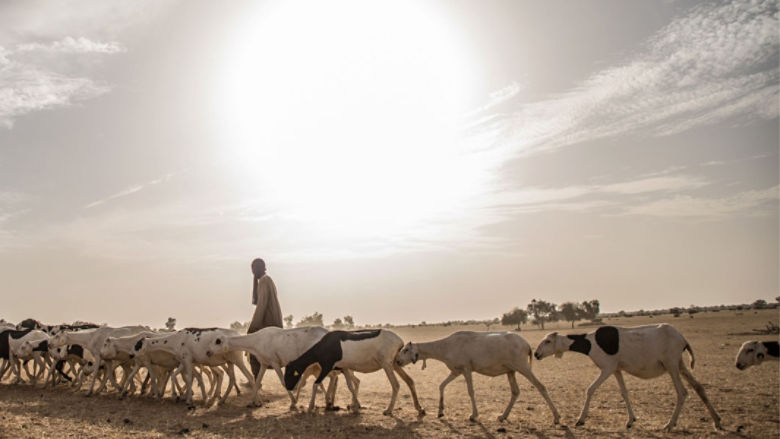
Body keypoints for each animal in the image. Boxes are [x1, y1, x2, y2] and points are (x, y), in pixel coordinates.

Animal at [532, 324, 724, 434]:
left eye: (548, 341)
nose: (536, 354)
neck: (591, 342)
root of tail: (682, 338)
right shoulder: (617, 369)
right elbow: (624, 392)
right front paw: (631, 421)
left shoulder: (607, 368)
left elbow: (590, 389)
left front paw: (580, 420)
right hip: (680, 364)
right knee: (699, 387)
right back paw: (717, 422)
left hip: (671, 364)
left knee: (682, 392)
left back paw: (669, 425)